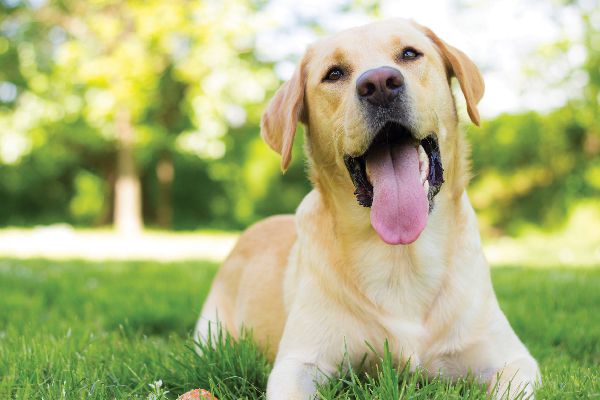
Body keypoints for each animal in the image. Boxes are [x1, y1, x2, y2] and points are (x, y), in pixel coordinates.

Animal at [196, 18, 540, 400]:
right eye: (334, 73)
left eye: (409, 54)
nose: (379, 84)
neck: (401, 256)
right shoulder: (299, 361)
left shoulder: (513, 359)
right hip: (210, 334)